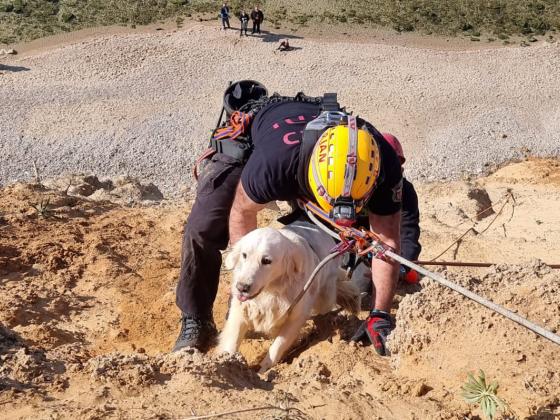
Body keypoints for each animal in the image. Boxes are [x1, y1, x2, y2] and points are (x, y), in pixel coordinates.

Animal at [217, 221, 356, 372]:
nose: (242, 288)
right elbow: (232, 341)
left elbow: (277, 346)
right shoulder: (240, 311)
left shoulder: (296, 318)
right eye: (244, 255)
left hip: (325, 296)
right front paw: (228, 362)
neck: (270, 292)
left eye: (266, 260)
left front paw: (263, 371)